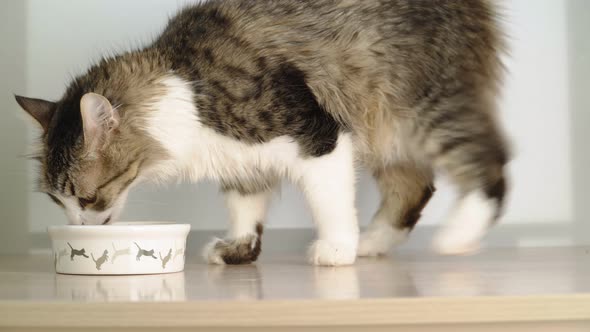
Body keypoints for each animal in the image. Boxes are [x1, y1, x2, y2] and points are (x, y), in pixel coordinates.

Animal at [16, 0, 512, 266]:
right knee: (415, 185)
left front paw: (336, 248)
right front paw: (238, 251)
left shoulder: (318, 135)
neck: (185, 88)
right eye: (58, 202)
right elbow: (245, 209)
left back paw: (456, 236)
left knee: (490, 161)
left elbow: (331, 205)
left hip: (423, 109)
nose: (78, 228)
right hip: (386, 131)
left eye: (85, 198)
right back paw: (373, 242)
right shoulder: (242, 164)